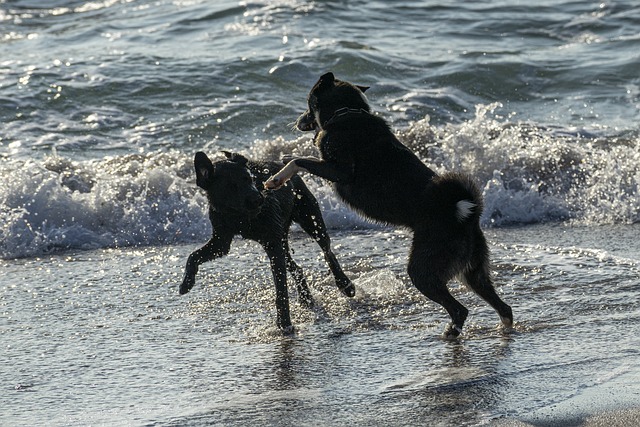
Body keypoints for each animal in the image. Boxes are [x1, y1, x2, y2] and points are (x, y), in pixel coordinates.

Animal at [180, 150, 356, 334]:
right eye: (231, 186)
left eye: (249, 179)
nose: (259, 199)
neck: (240, 217)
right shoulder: (221, 242)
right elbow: (193, 256)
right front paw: (186, 282)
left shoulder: (272, 243)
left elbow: (281, 288)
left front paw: (284, 322)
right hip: (283, 235)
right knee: (296, 267)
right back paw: (305, 297)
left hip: (309, 216)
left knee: (327, 251)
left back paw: (345, 284)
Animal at [264, 72, 516, 338]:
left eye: (308, 103)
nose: (297, 121)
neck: (346, 113)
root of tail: (465, 217)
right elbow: (300, 159)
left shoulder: (339, 170)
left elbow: (301, 161)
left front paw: (277, 177)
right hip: (473, 273)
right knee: (503, 307)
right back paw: (503, 330)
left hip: (423, 270)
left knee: (460, 309)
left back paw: (452, 331)